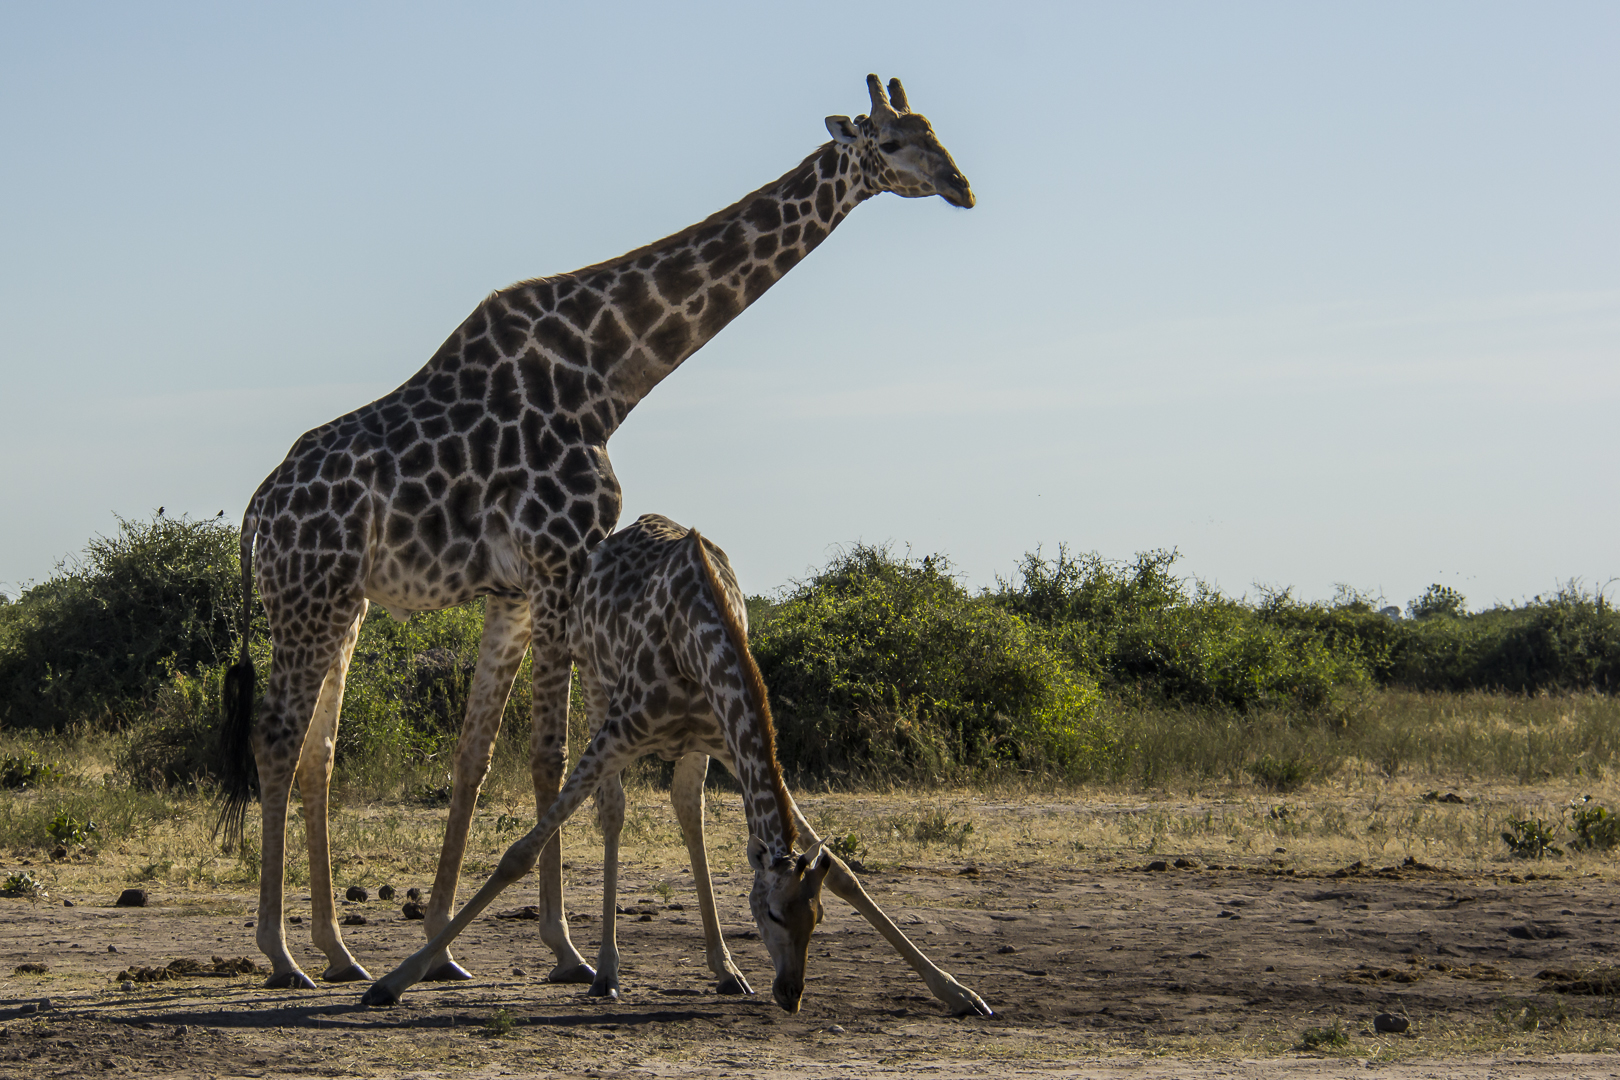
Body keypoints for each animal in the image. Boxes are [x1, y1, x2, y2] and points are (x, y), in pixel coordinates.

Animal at [215, 74, 972, 990]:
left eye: (934, 131)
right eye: (892, 145)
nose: (962, 187)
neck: (608, 373)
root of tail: (260, 506)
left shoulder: (516, 587)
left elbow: (474, 758)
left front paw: (443, 948)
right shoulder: (558, 558)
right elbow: (549, 757)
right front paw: (568, 949)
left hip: (345, 604)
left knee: (318, 752)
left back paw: (338, 949)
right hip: (307, 594)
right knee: (277, 739)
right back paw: (280, 952)